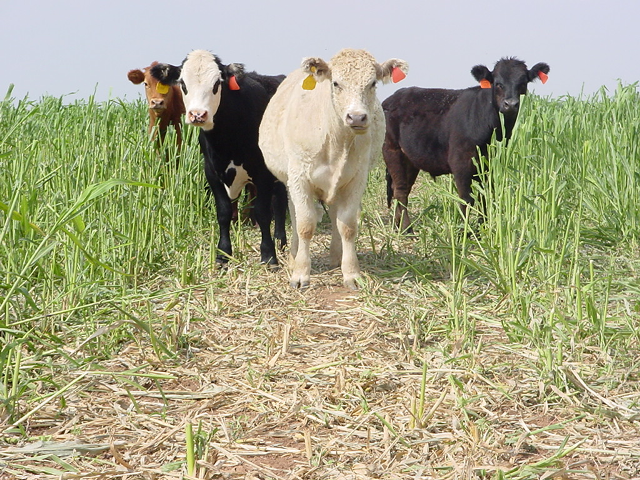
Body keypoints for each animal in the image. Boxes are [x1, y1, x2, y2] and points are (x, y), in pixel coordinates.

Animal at [150, 50, 287, 266]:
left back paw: (281, 241)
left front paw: (268, 255)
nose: (197, 115)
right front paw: (223, 254)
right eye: (183, 84)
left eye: (216, 84)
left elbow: (262, 213)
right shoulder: (212, 172)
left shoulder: (262, 173)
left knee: (281, 201)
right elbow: (223, 213)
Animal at [259, 48, 409, 289]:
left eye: (372, 83)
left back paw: (336, 257)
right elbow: (305, 224)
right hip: (290, 181)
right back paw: (293, 256)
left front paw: (351, 273)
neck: (336, 141)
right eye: (336, 83)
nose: (356, 117)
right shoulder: (299, 178)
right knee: (295, 214)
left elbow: (347, 225)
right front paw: (300, 272)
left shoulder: (357, 178)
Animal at [382, 57, 550, 232]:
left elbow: (486, 196)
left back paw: (398, 225)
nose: (510, 104)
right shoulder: (461, 163)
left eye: (523, 83)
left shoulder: (491, 165)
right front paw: (465, 232)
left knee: (401, 189)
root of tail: (393, 97)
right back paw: (407, 230)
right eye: (498, 83)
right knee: (400, 191)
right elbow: (466, 199)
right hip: (392, 150)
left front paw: (483, 228)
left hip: (410, 160)